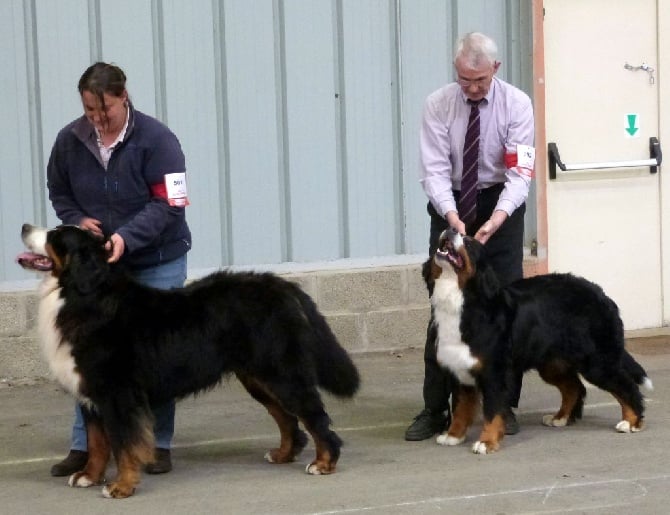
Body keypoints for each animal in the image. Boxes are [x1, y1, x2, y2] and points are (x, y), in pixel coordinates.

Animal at [17, 224, 362, 498]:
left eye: (55, 236)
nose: (24, 226)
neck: (81, 295)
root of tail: (282, 285)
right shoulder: (91, 394)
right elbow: (98, 442)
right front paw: (89, 475)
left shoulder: (118, 394)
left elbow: (123, 443)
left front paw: (121, 486)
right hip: (258, 378)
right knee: (288, 419)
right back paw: (282, 454)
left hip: (281, 372)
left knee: (314, 416)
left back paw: (324, 463)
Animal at [428, 229, 652, 456]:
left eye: (468, 241)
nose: (450, 229)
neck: (462, 300)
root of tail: (601, 294)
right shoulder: (459, 369)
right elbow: (460, 408)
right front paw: (453, 436)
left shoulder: (494, 373)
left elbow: (491, 411)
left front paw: (486, 442)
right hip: (553, 364)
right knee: (575, 387)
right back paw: (560, 418)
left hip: (597, 362)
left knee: (626, 385)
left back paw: (631, 422)